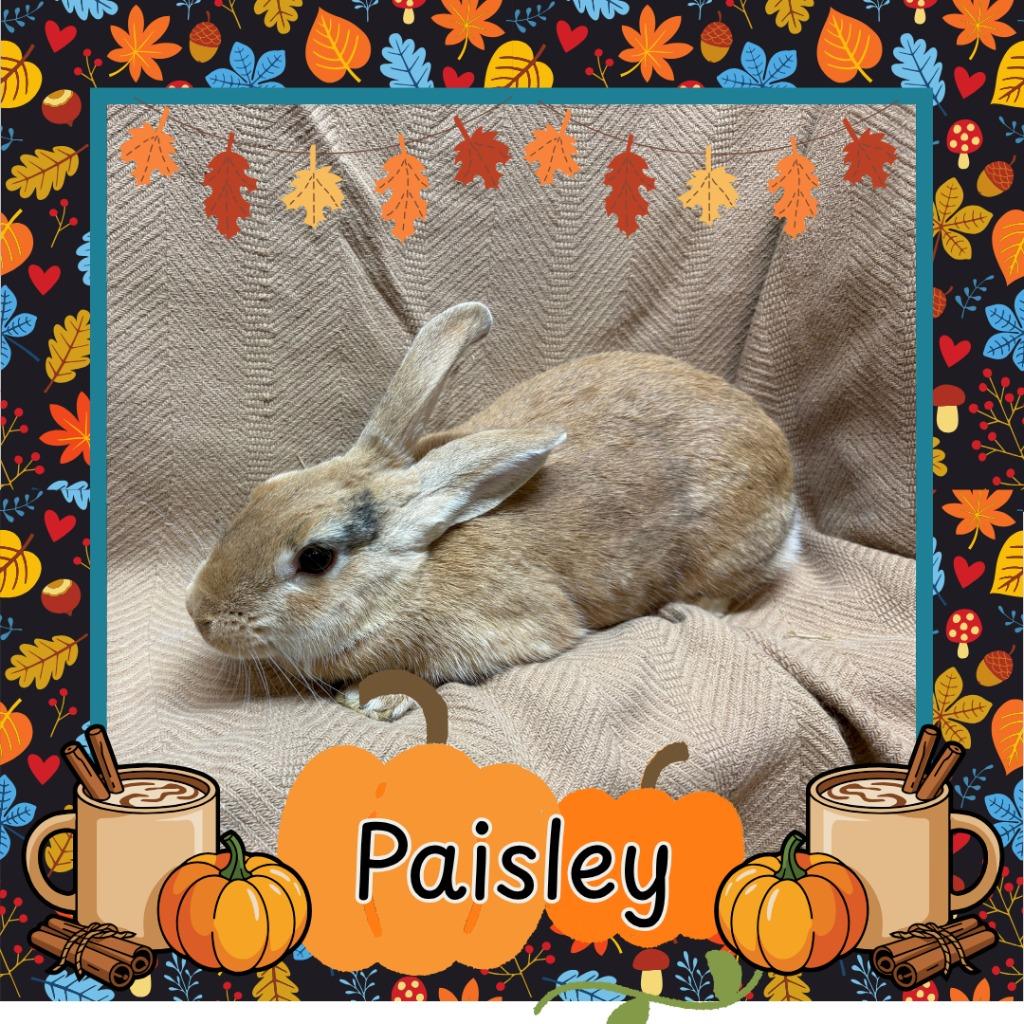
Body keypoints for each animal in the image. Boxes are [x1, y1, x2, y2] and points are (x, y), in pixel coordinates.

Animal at [186, 302, 796, 720]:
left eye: (315, 557)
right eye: (264, 490)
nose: (199, 614)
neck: (413, 577)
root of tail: (784, 468)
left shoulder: (517, 628)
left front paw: (371, 702)